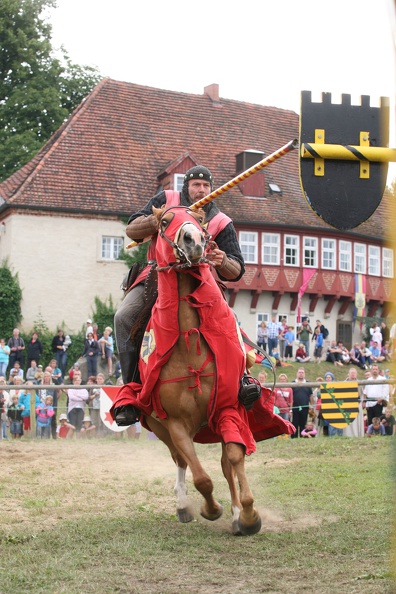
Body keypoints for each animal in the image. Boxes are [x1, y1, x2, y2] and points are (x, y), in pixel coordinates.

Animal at [111, 206, 290, 536]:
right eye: (165, 221)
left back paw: (235, 513)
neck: (188, 342)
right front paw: (211, 508)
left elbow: (233, 458)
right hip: (159, 427)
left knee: (224, 465)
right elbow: (200, 476)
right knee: (181, 461)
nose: (194, 242)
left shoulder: (228, 407)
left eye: (200, 222)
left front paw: (246, 515)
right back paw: (183, 505)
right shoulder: (175, 424)